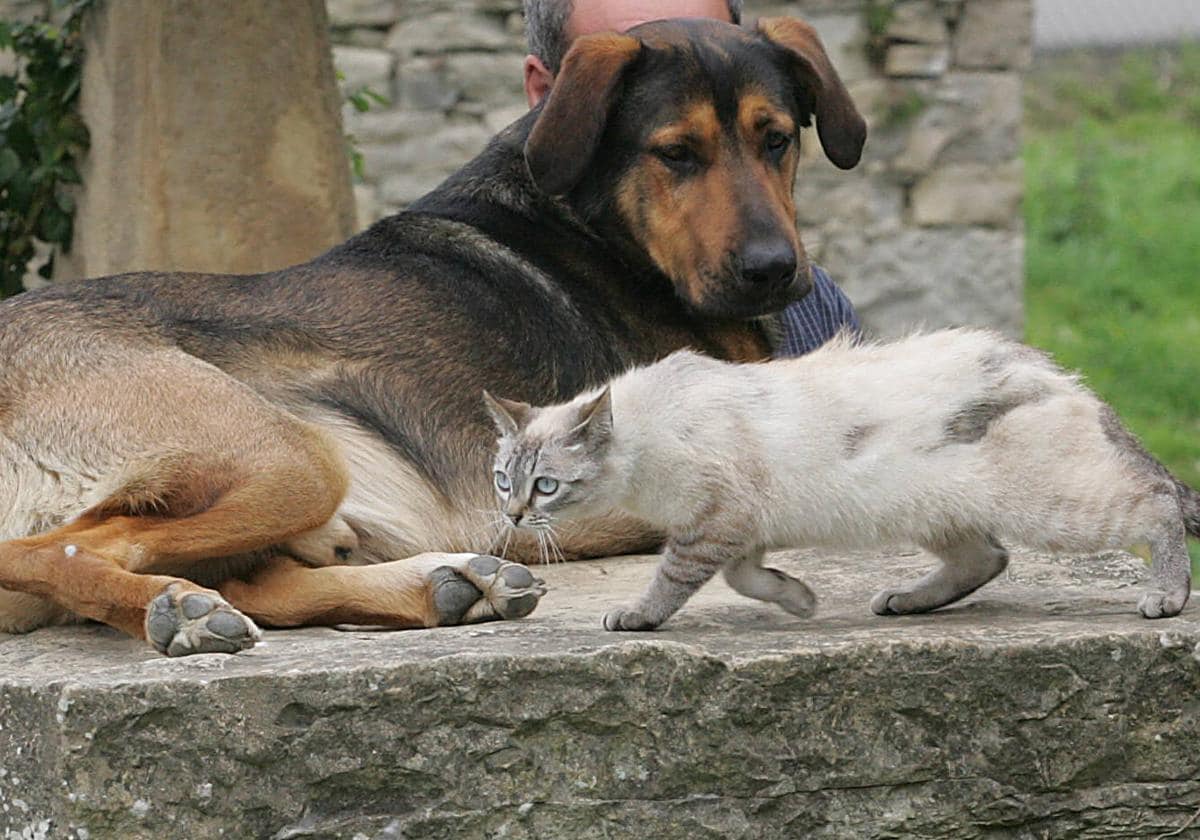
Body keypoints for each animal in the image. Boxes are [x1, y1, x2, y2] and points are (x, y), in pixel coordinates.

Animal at [0, 16, 864, 652]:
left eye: (777, 138)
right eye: (676, 153)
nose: (773, 270)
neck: (600, 228)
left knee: (249, 581)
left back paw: (443, 586)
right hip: (284, 455)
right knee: (56, 551)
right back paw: (175, 612)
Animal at [482, 328, 1195, 628]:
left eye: (545, 486)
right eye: (502, 481)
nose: (513, 517)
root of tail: (1059, 375)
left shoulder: (713, 524)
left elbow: (671, 583)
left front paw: (636, 616)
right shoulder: (738, 530)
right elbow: (747, 579)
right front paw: (801, 601)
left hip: (1052, 508)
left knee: (1158, 501)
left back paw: (1166, 596)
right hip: (934, 511)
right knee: (987, 559)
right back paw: (906, 601)